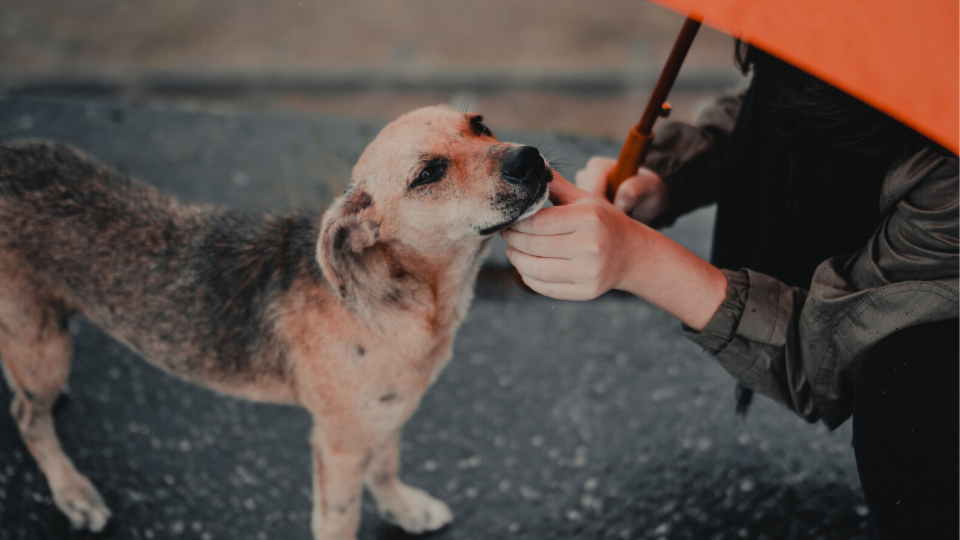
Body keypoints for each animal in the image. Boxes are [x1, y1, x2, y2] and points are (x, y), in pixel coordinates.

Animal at [0, 106, 552, 540]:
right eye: (429, 173)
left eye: (480, 124)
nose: (528, 158)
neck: (413, 297)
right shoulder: (339, 446)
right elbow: (340, 520)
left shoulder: (385, 414)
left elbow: (387, 466)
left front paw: (404, 510)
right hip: (45, 349)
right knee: (26, 417)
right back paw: (73, 492)